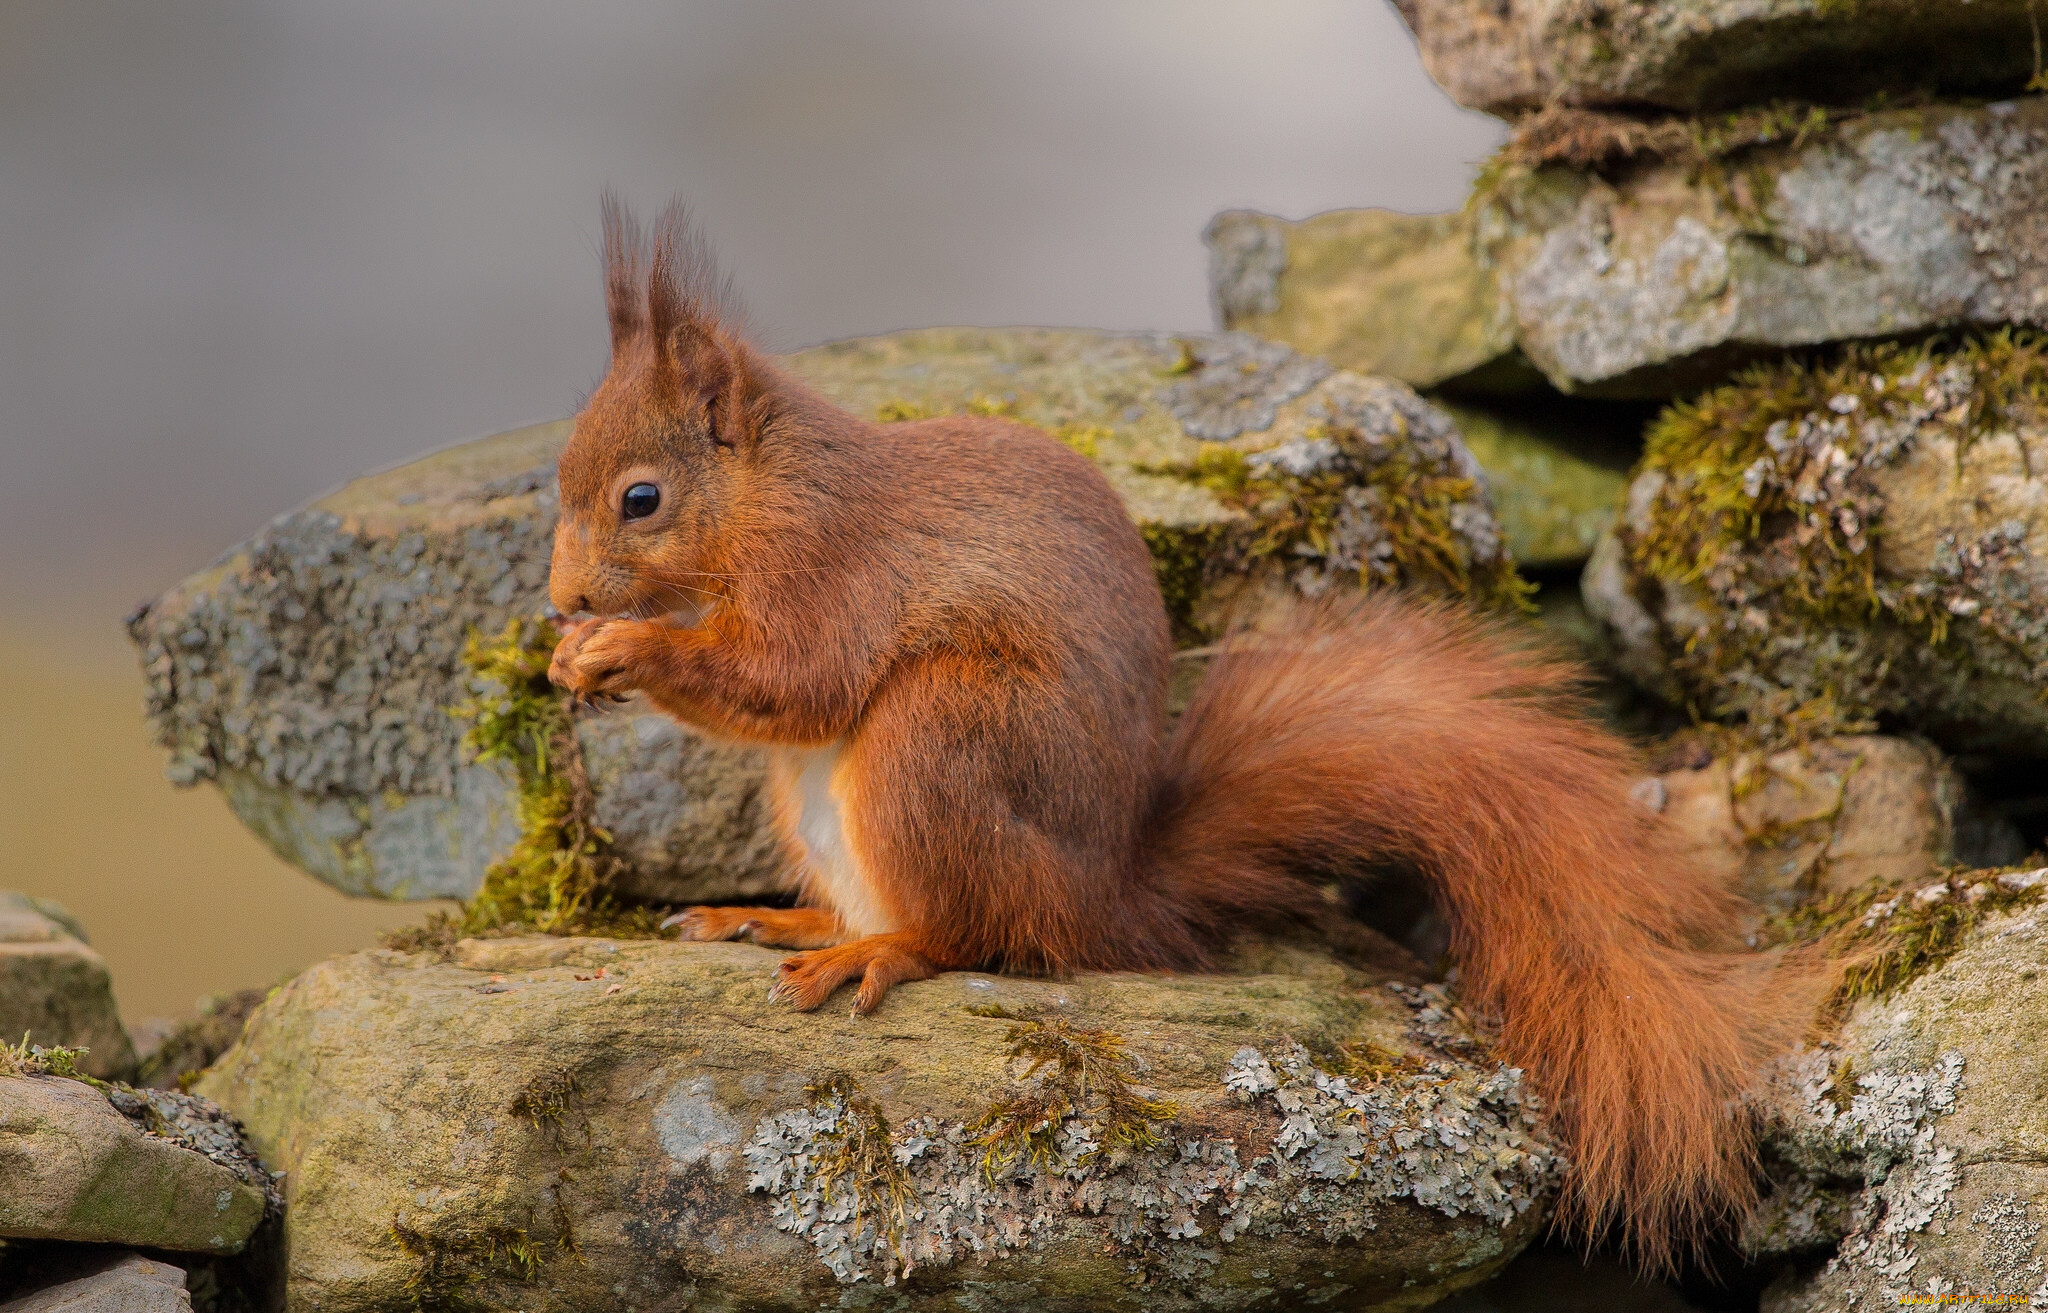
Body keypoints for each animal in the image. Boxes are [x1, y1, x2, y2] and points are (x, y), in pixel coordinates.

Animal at [544, 199, 1810, 1261]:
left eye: (640, 498)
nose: (560, 601)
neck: (765, 491)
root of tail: (1105, 892)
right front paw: (576, 657)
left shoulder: (831, 571)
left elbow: (794, 679)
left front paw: (625, 651)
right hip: (817, 800)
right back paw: (771, 917)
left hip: (937, 736)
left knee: (972, 931)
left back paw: (877, 950)